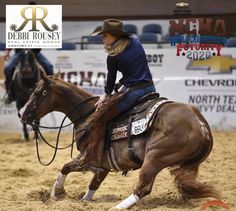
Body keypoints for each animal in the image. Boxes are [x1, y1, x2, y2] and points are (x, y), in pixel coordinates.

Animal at [19, 72, 218, 209]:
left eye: (38, 92)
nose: (21, 113)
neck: (88, 115)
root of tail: (201, 125)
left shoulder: (87, 157)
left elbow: (65, 167)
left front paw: (57, 192)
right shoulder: (103, 165)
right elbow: (93, 183)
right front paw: (83, 200)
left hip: (154, 158)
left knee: (143, 188)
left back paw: (118, 207)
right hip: (190, 165)